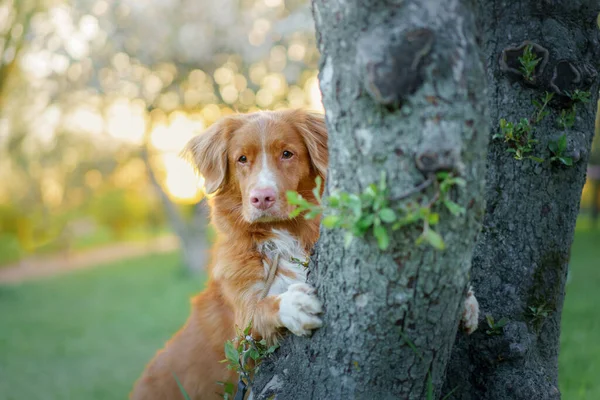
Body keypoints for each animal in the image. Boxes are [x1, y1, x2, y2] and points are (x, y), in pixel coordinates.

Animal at [131, 108, 478, 398]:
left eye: (287, 153)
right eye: (241, 159)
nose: (262, 197)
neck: (281, 239)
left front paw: (464, 299)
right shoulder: (240, 337)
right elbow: (260, 309)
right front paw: (292, 305)